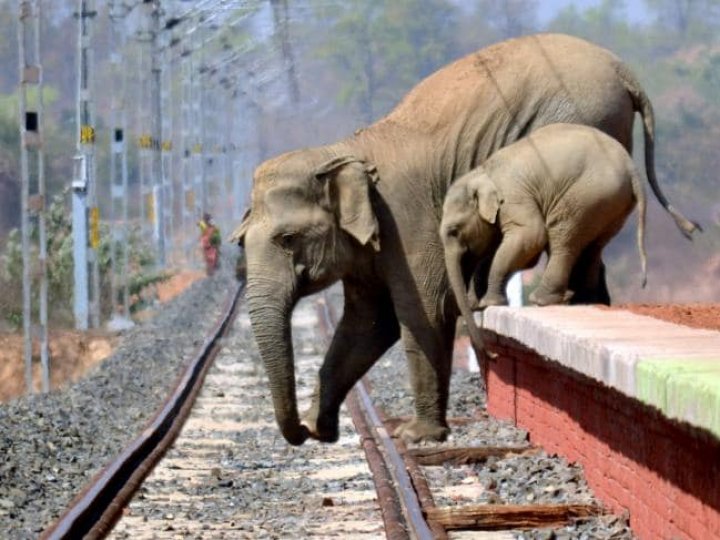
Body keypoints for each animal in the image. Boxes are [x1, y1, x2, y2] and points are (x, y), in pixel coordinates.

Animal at [442, 123, 648, 346]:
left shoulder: (514, 198)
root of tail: (631, 168)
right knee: (593, 246)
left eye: (454, 231)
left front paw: (489, 302)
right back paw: (581, 300)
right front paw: (480, 303)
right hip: (612, 205)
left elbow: (531, 236)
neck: (483, 172)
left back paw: (542, 300)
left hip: (586, 196)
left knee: (562, 238)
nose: (468, 309)